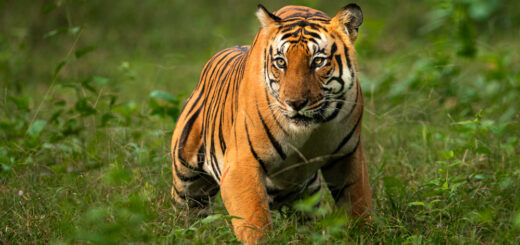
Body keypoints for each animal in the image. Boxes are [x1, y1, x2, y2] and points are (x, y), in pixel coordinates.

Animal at [171, 3, 370, 243]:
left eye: (318, 61)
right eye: (281, 62)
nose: (295, 103)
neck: (310, 131)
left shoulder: (348, 155)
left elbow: (358, 204)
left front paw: (365, 235)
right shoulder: (241, 165)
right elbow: (254, 221)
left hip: (307, 193)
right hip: (187, 183)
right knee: (191, 214)